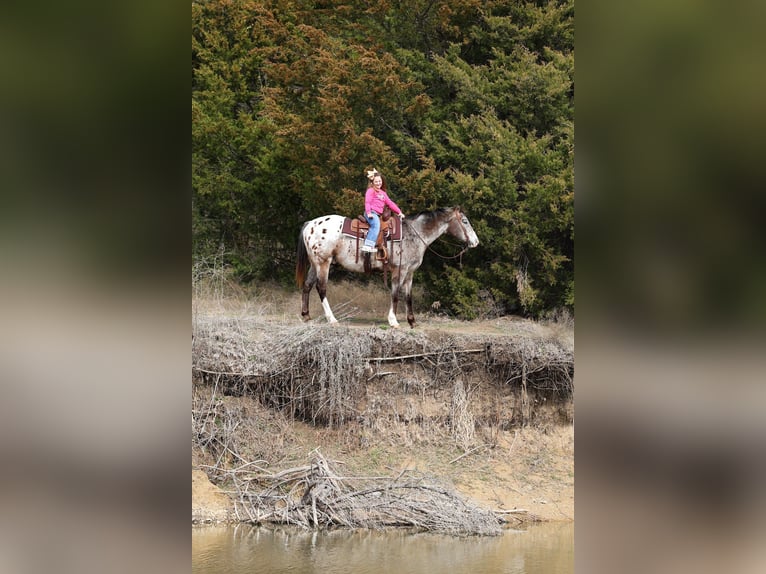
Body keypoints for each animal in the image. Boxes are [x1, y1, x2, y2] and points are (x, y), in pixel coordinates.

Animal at [295, 206, 479, 328]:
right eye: (465, 221)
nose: (475, 242)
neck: (414, 234)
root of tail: (311, 223)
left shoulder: (410, 272)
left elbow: (408, 296)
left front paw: (412, 321)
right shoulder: (400, 269)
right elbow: (396, 294)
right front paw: (393, 320)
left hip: (315, 264)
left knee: (307, 286)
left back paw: (306, 316)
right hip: (323, 263)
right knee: (321, 288)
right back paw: (332, 319)